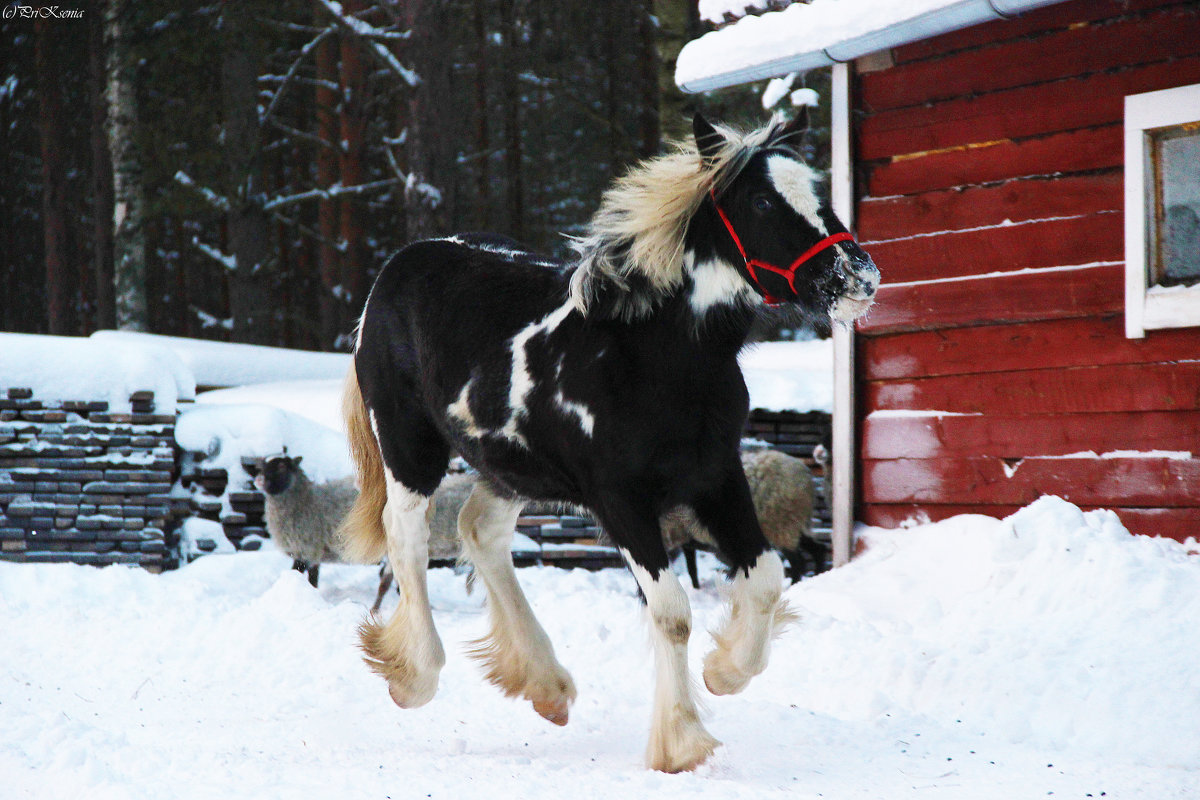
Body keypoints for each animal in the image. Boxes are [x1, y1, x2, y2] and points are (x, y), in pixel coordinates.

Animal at [662, 448, 830, 592]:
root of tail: (806, 475)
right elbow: (692, 569)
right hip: (793, 523)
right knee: (818, 549)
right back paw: (817, 577)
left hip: (781, 523)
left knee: (798, 561)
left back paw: (793, 586)